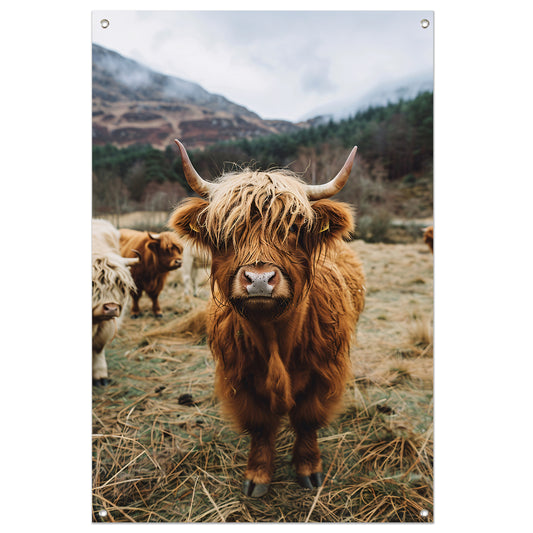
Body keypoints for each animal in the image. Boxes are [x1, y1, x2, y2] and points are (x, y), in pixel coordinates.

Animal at [92, 218, 138, 384]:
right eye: (92, 283)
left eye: (119, 283)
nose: (111, 308)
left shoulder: (107, 324)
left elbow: (98, 347)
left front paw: (100, 375)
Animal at [168, 139, 364, 496]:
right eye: (226, 231)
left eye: (295, 228)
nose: (259, 279)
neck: (274, 337)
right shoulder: (240, 379)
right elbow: (259, 426)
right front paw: (257, 475)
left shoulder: (323, 374)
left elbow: (307, 420)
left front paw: (309, 469)